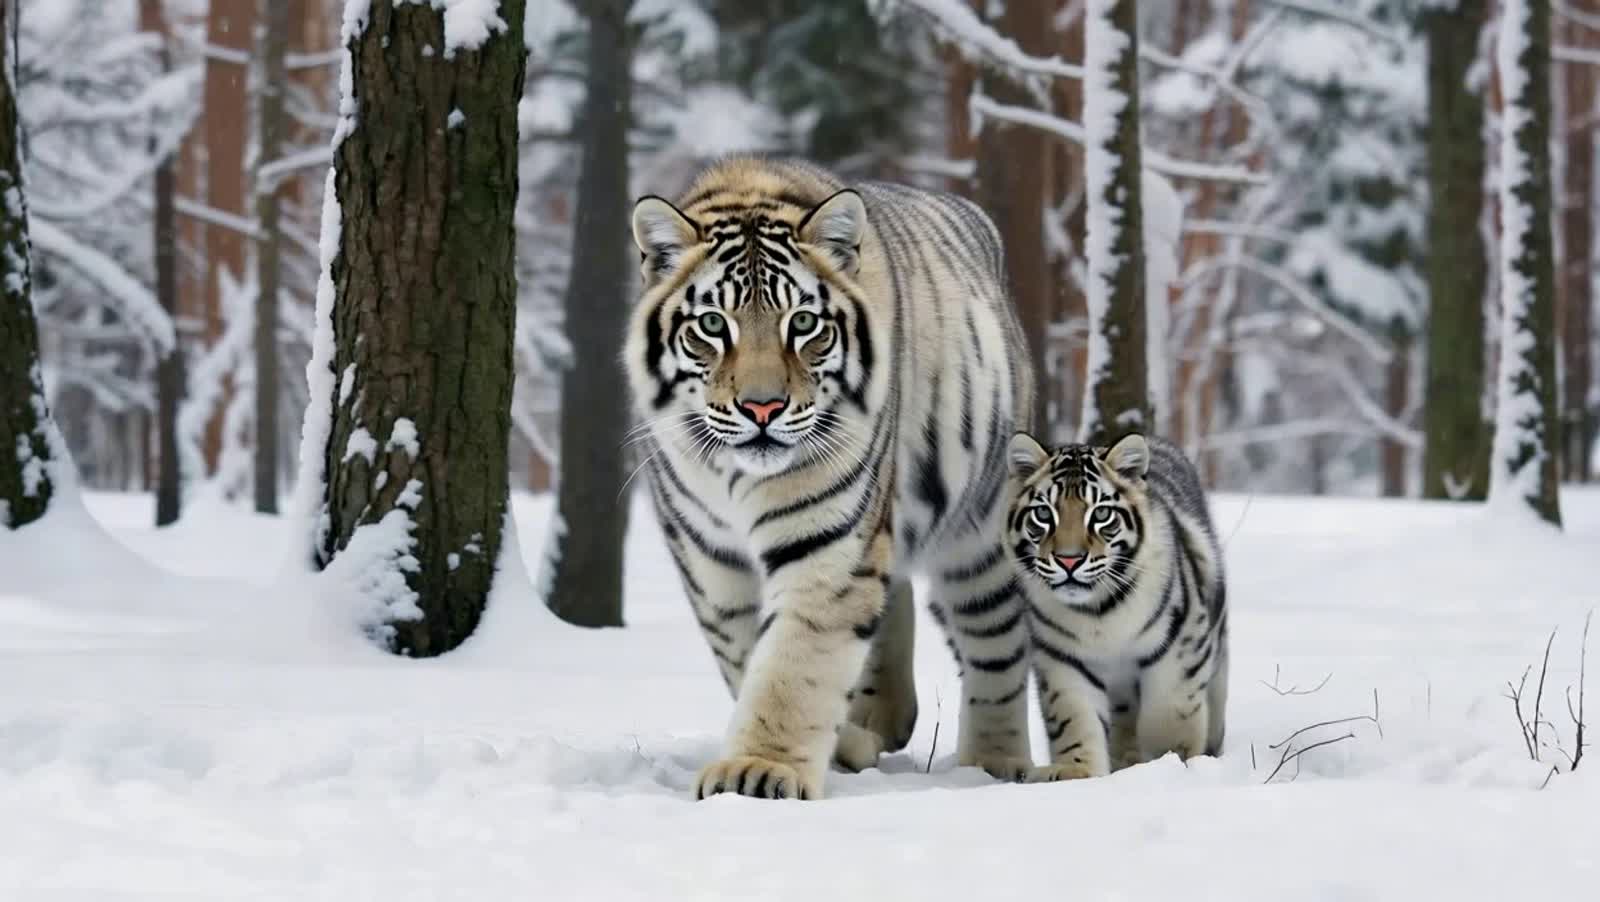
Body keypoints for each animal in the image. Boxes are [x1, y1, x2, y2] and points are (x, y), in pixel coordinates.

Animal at [624, 156, 1035, 800]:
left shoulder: (826, 539)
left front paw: (757, 772)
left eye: (804, 323)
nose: (762, 408)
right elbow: (748, 656)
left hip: (980, 534)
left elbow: (794, 663)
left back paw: (994, 763)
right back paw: (881, 722)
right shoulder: (708, 558)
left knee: (997, 642)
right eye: (713, 324)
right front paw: (835, 746)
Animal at [1005, 431, 1229, 781]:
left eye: (1100, 514)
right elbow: (1076, 720)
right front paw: (1075, 772)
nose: (1069, 560)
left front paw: (1169, 762)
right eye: (1043, 514)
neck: (1100, 610)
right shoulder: (1064, 659)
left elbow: (1170, 716)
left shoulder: (1178, 652)